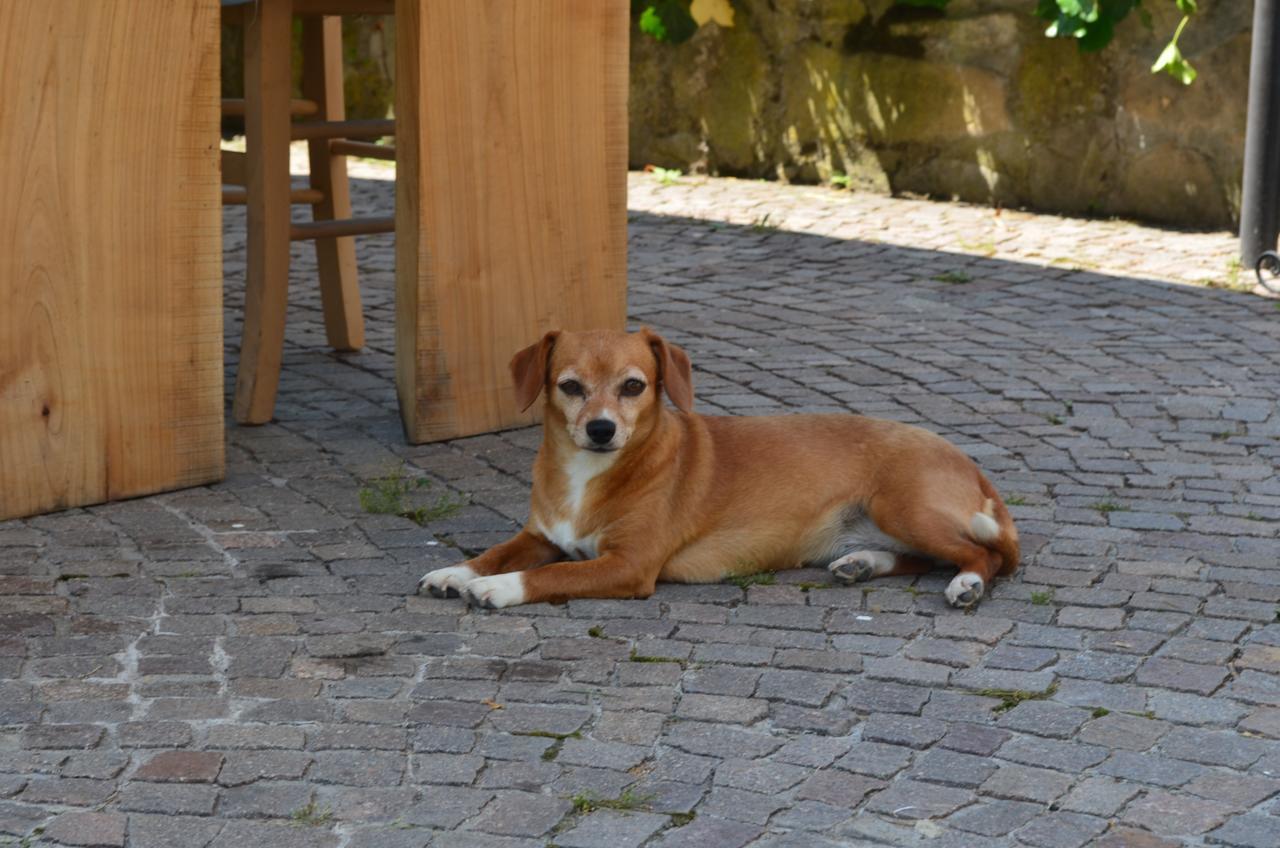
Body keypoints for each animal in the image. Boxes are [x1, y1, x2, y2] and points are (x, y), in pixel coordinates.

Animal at [419, 330, 1018, 612]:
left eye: (634, 385)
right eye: (569, 386)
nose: (601, 429)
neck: (590, 474)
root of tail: (969, 465)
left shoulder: (629, 566)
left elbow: (549, 576)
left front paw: (498, 589)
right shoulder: (539, 537)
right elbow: (494, 553)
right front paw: (456, 572)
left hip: (904, 509)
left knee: (985, 557)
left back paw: (967, 584)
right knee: (922, 559)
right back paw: (862, 563)